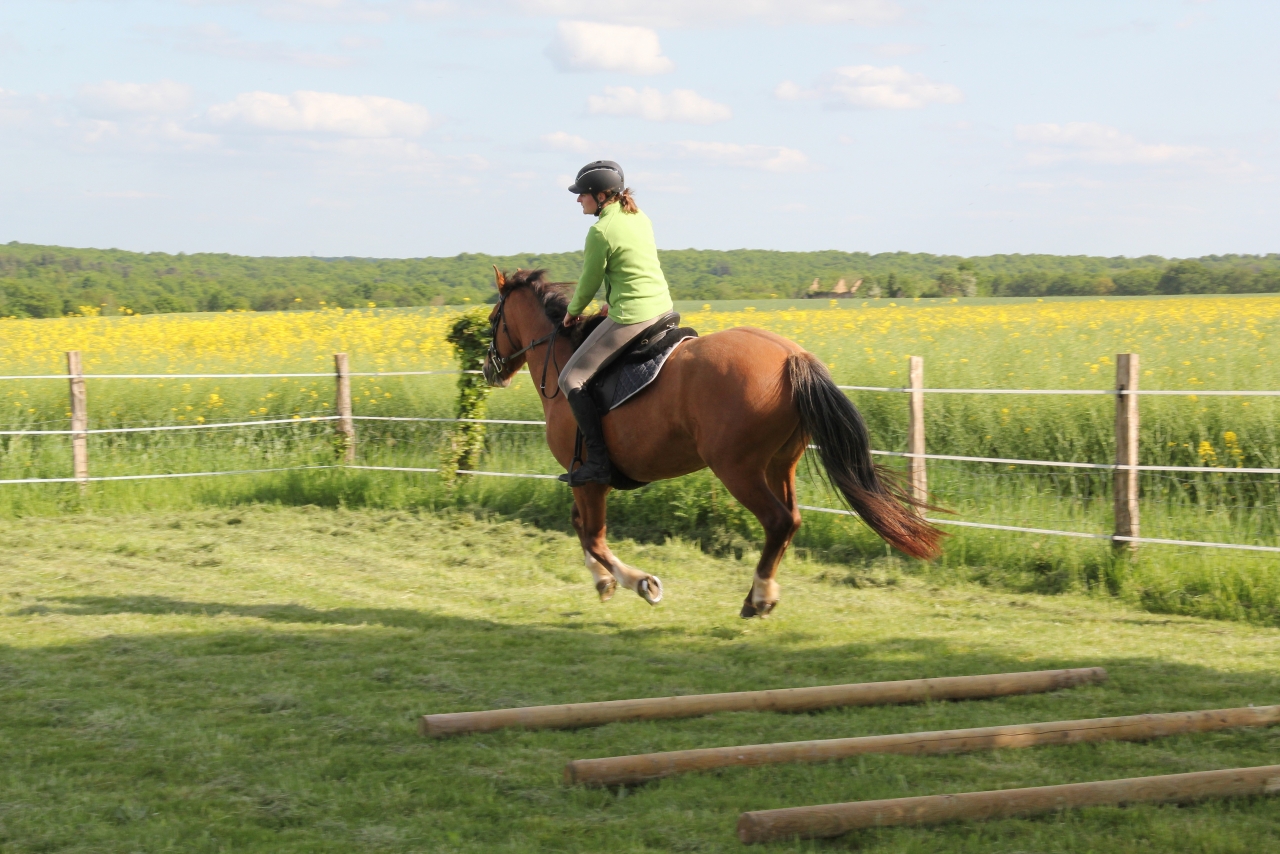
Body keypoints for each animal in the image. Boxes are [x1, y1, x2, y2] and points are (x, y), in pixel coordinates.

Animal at [482, 269, 942, 618]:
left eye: (492, 320)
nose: (490, 369)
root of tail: (792, 356)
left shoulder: (588, 477)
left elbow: (592, 534)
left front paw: (640, 583)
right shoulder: (590, 481)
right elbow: (581, 528)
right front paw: (604, 580)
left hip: (737, 469)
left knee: (778, 521)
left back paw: (759, 597)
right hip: (779, 465)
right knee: (791, 519)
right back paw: (759, 595)